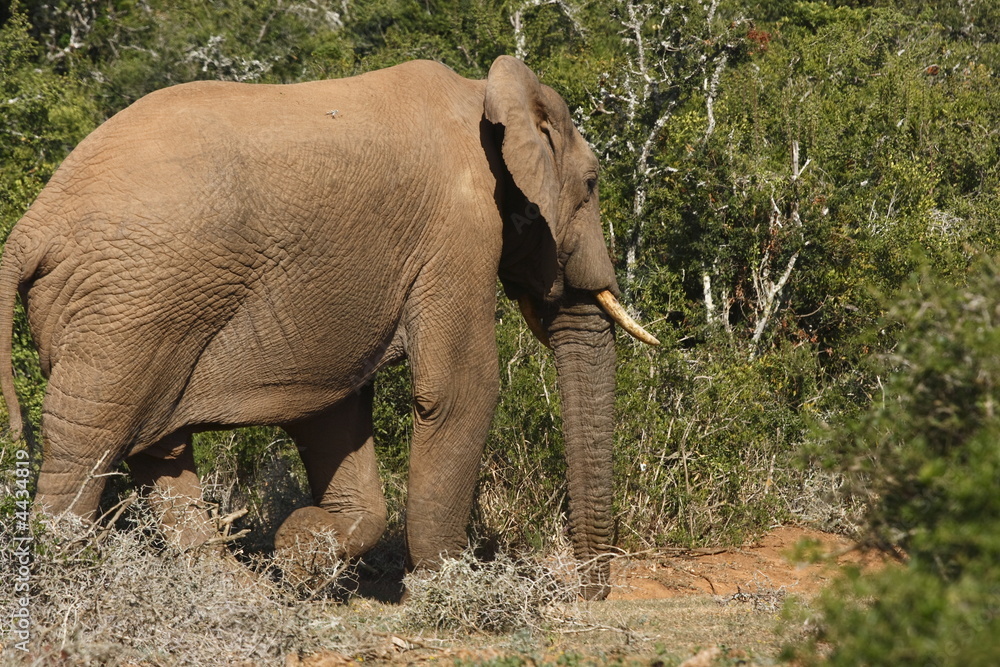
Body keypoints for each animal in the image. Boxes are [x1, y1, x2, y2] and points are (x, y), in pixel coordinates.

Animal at [0, 56, 658, 599]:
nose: (587, 592)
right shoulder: (459, 228)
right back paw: (69, 583)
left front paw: (301, 552)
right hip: (130, 303)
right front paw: (448, 591)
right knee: (89, 440)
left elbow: (334, 409)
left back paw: (244, 596)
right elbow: (460, 390)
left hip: (133, 306)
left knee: (154, 447)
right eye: (592, 184)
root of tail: (31, 226)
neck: (486, 95)